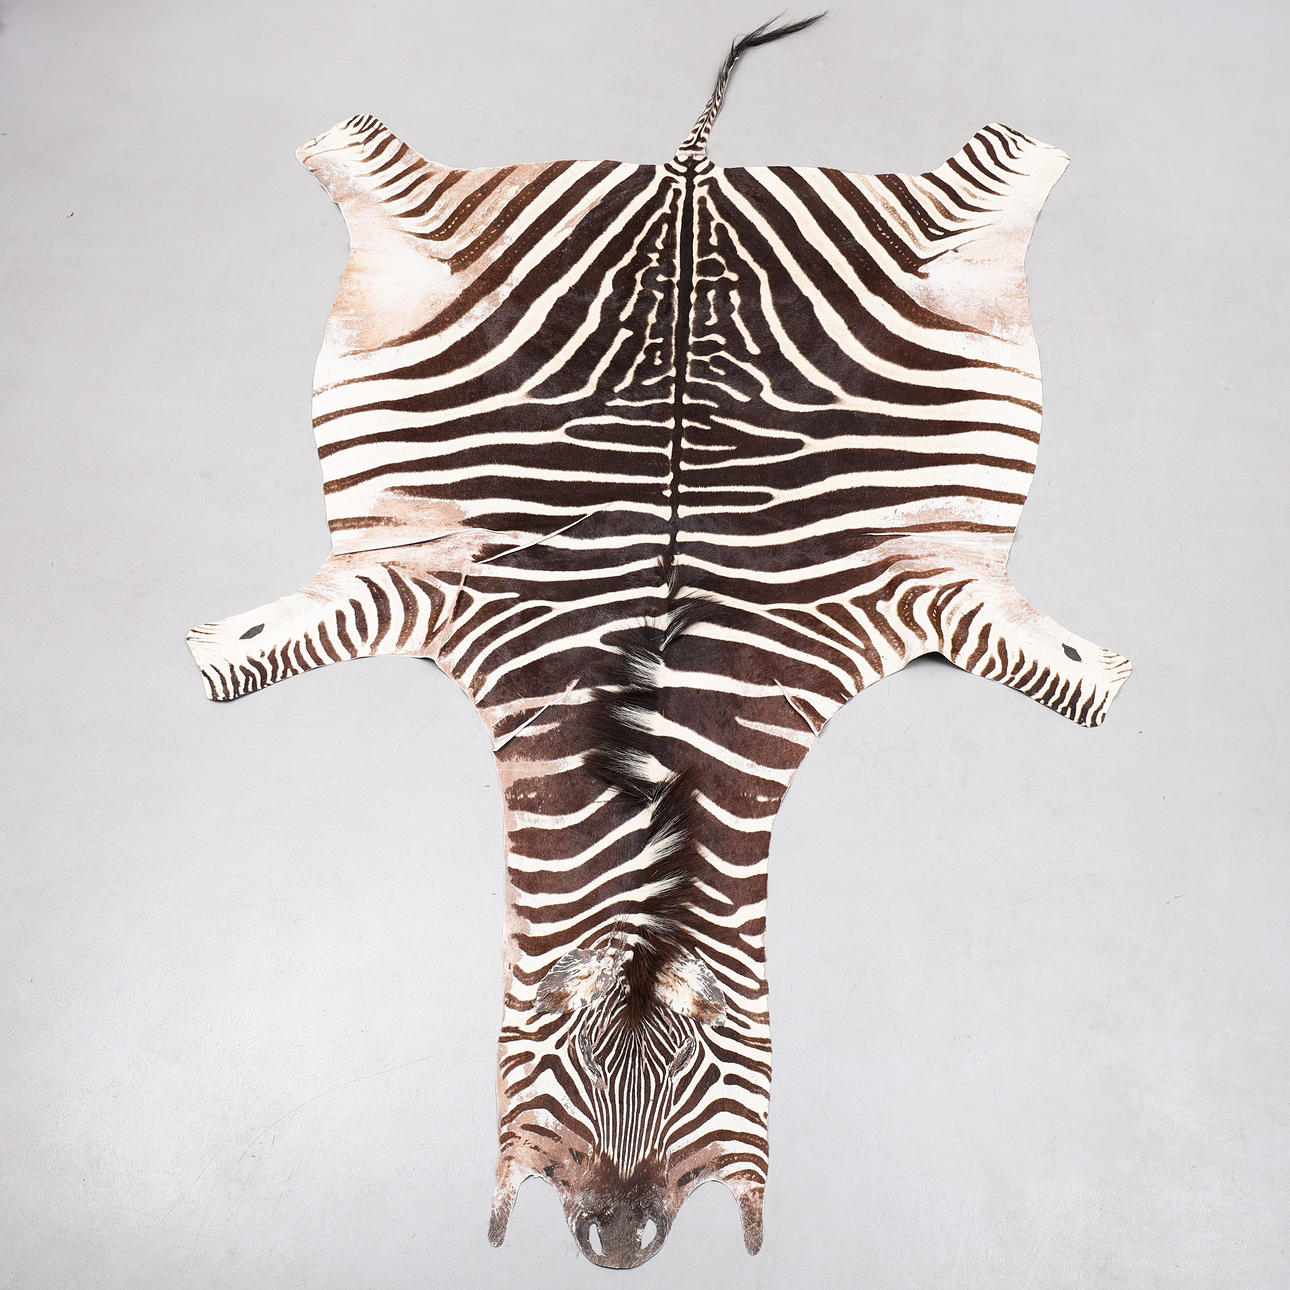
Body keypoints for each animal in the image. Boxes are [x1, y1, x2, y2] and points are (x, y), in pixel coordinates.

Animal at [186, 16, 1131, 1269]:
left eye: (707, 1081)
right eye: (562, 1074)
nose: (620, 1245)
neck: (658, 748)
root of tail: (689, 176)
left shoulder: (922, 599)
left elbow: (1075, 678)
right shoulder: (417, 586)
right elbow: (247, 651)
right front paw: (214, 653)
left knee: (1004, 161)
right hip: (437, 226)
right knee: (369, 159)